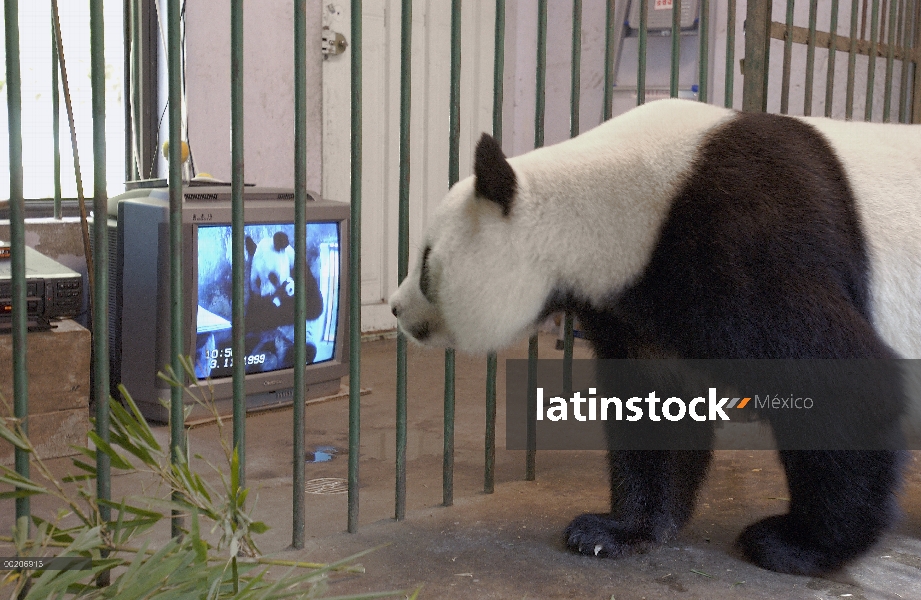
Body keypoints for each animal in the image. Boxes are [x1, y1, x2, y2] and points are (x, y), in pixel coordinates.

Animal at [194, 220, 342, 380]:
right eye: (258, 281)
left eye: (272, 277)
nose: (266, 296)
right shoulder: (254, 297)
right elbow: (254, 318)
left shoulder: (303, 276)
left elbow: (313, 307)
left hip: (298, 341)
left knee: (301, 351)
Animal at [388, 99, 920, 576]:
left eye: (427, 263)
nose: (395, 308)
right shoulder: (645, 300)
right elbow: (656, 406)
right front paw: (613, 531)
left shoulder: (750, 238)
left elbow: (844, 384)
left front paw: (796, 544)